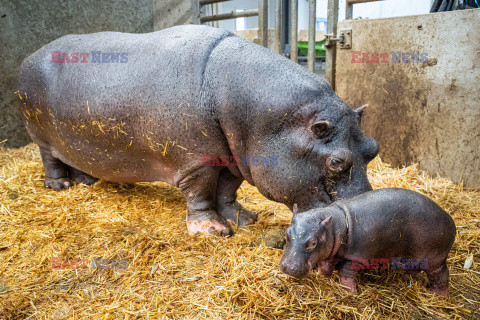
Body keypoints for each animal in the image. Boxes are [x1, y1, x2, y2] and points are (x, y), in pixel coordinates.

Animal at [16, 25, 378, 236]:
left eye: (373, 148)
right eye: (337, 162)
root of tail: (28, 57)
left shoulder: (233, 157)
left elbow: (228, 190)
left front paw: (244, 219)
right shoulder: (196, 162)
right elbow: (201, 193)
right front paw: (213, 230)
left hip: (76, 139)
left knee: (75, 158)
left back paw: (86, 182)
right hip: (39, 132)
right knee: (49, 158)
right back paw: (60, 185)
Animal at [282, 188, 458, 296]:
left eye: (312, 242)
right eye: (287, 234)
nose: (288, 267)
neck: (337, 224)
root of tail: (451, 221)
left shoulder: (356, 257)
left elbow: (345, 273)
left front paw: (350, 292)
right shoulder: (332, 251)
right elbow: (326, 265)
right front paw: (323, 277)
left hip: (434, 258)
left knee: (441, 275)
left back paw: (438, 296)